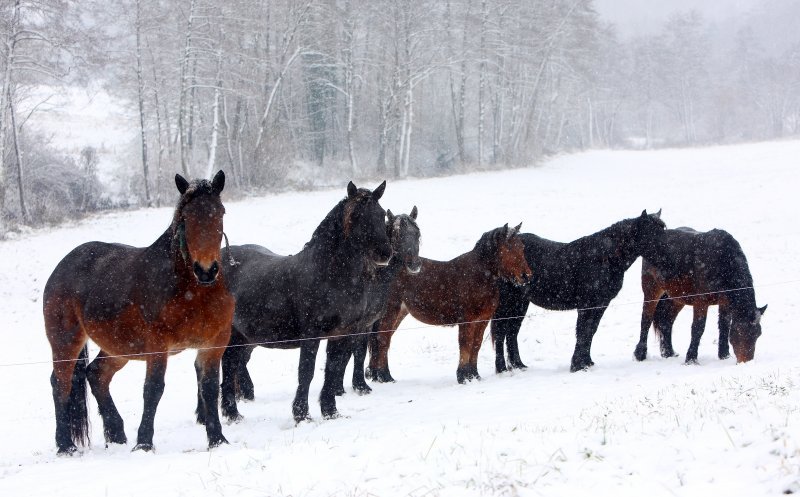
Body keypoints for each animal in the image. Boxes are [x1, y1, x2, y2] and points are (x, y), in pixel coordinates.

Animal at [42, 171, 233, 454]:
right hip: (66, 342)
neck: (194, 290)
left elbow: (209, 389)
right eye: (186, 217)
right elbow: (153, 390)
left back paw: (116, 434)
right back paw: (66, 445)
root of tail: (62, 267)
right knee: (61, 384)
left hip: (119, 347)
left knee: (96, 374)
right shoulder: (158, 345)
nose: (206, 270)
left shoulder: (213, 344)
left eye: (220, 212)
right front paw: (144, 443)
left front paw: (217, 439)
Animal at [200, 181, 394, 422]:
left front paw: (330, 411)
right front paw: (301, 415)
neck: (328, 275)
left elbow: (333, 370)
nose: (384, 253)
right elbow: (306, 372)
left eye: (381, 214)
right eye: (356, 215)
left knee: (230, 367)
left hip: (239, 337)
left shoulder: (342, 334)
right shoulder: (311, 334)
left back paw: (233, 415)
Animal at [368, 224, 536, 384]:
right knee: (382, 340)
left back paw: (379, 376)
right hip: (391, 311)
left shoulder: (483, 320)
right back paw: (385, 376)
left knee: (384, 339)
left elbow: (476, 344)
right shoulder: (467, 320)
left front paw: (474, 375)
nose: (526, 276)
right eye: (509, 247)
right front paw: (463, 377)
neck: (479, 276)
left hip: (400, 313)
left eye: (522, 247)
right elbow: (465, 344)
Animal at [490, 209, 664, 372]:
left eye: (663, 229)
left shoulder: (601, 305)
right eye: (653, 232)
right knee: (500, 332)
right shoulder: (586, 305)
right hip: (507, 303)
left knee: (511, 333)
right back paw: (502, 368)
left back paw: (518, 365)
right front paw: (577, 365)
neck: (604, 257)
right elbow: (582, 331)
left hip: (519, 304)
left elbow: (590, 331)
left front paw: (587, 362)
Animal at [636, 227, 764, 362]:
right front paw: (691, 359)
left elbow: (724, 326)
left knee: (666, 322)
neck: (723, 261)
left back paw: (669, 353)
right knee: (646, 320)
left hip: (676, 297)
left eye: (758, 334)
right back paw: (640, 354)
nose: (746, 362)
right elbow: (698, 328)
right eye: (739, 331)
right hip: (652, 291)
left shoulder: (724, 303)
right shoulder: (701, 302)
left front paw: (724, 355)